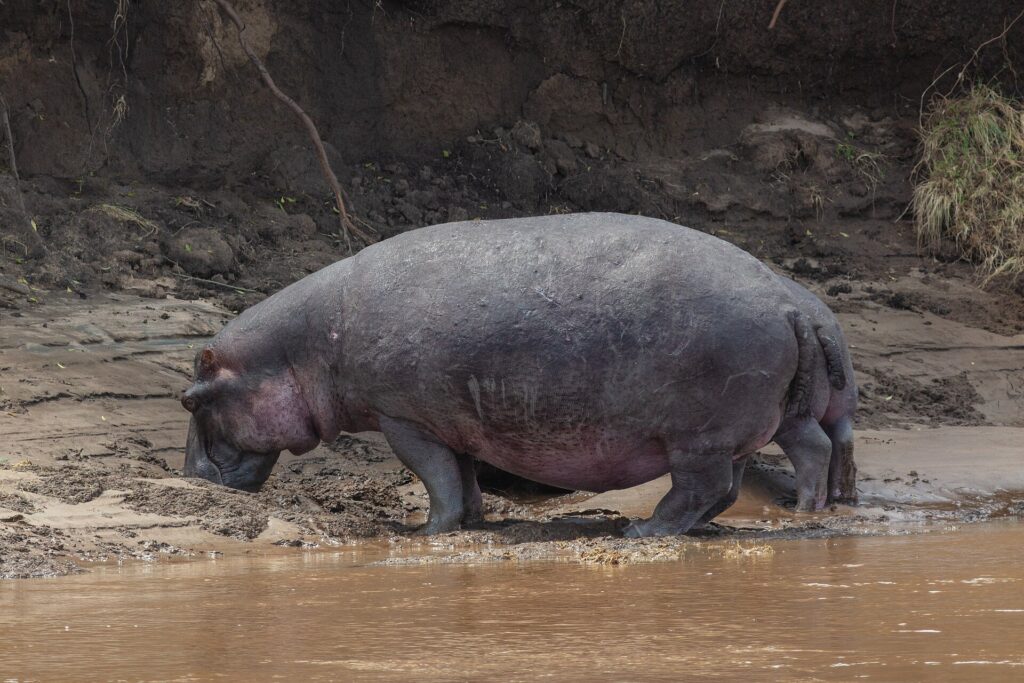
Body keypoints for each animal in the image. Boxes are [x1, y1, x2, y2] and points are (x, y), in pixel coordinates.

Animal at [181, 213, 857, 537]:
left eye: (190, 400)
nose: (190, 477)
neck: (303, 347)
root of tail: (790, 302)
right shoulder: (451, 420)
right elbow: (463, 476)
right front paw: (474, 521)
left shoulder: (404, 418)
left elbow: (435, 479)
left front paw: (425, 530)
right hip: (740, 429)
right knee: (784, 463)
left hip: (700, 437)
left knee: (709, 485)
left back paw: (642, 531)